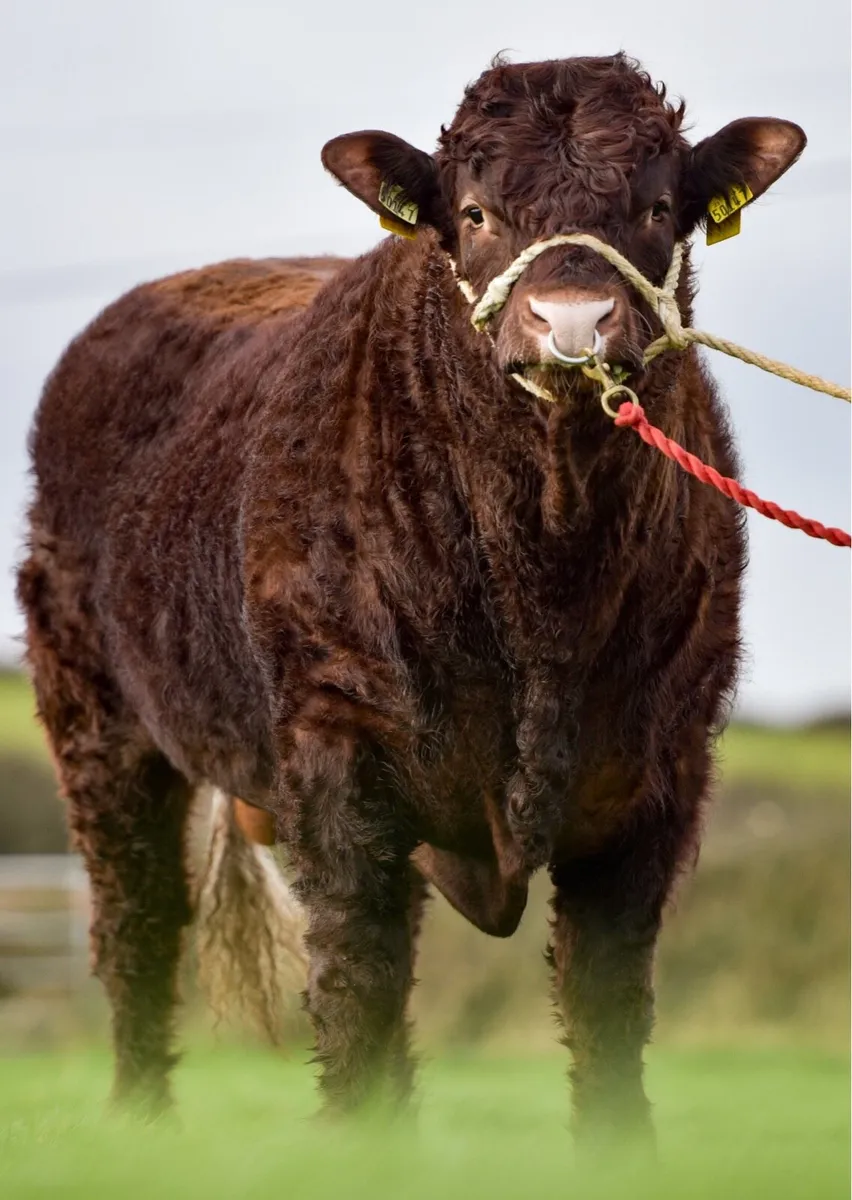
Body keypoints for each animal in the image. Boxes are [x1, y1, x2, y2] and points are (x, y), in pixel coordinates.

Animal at [17, 53, 805, 1143]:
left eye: (655, 208)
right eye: (474, 214)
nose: (570, 324)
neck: (545, 573)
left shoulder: (657, 771)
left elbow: (605, 1000)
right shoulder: (341, 751)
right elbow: (358, 980)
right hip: (98, 722)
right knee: (138, 921)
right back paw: (142, 1125)